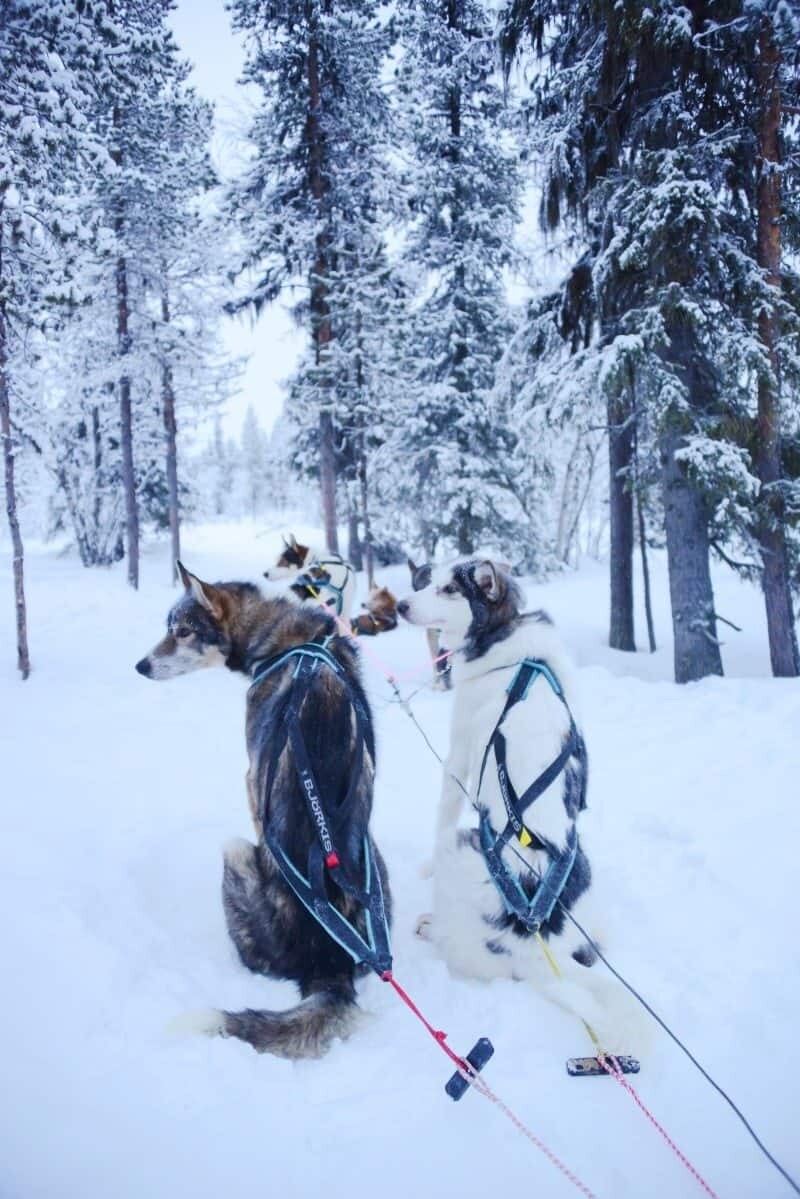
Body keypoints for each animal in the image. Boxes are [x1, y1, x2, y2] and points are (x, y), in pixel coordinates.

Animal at [134, 561, 391, 1059]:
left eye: (182, 630)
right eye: (168, 627)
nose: (140, 666)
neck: (284, 638)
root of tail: (326, 961)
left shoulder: (252, 784)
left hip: (233, 851)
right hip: (377, 867)